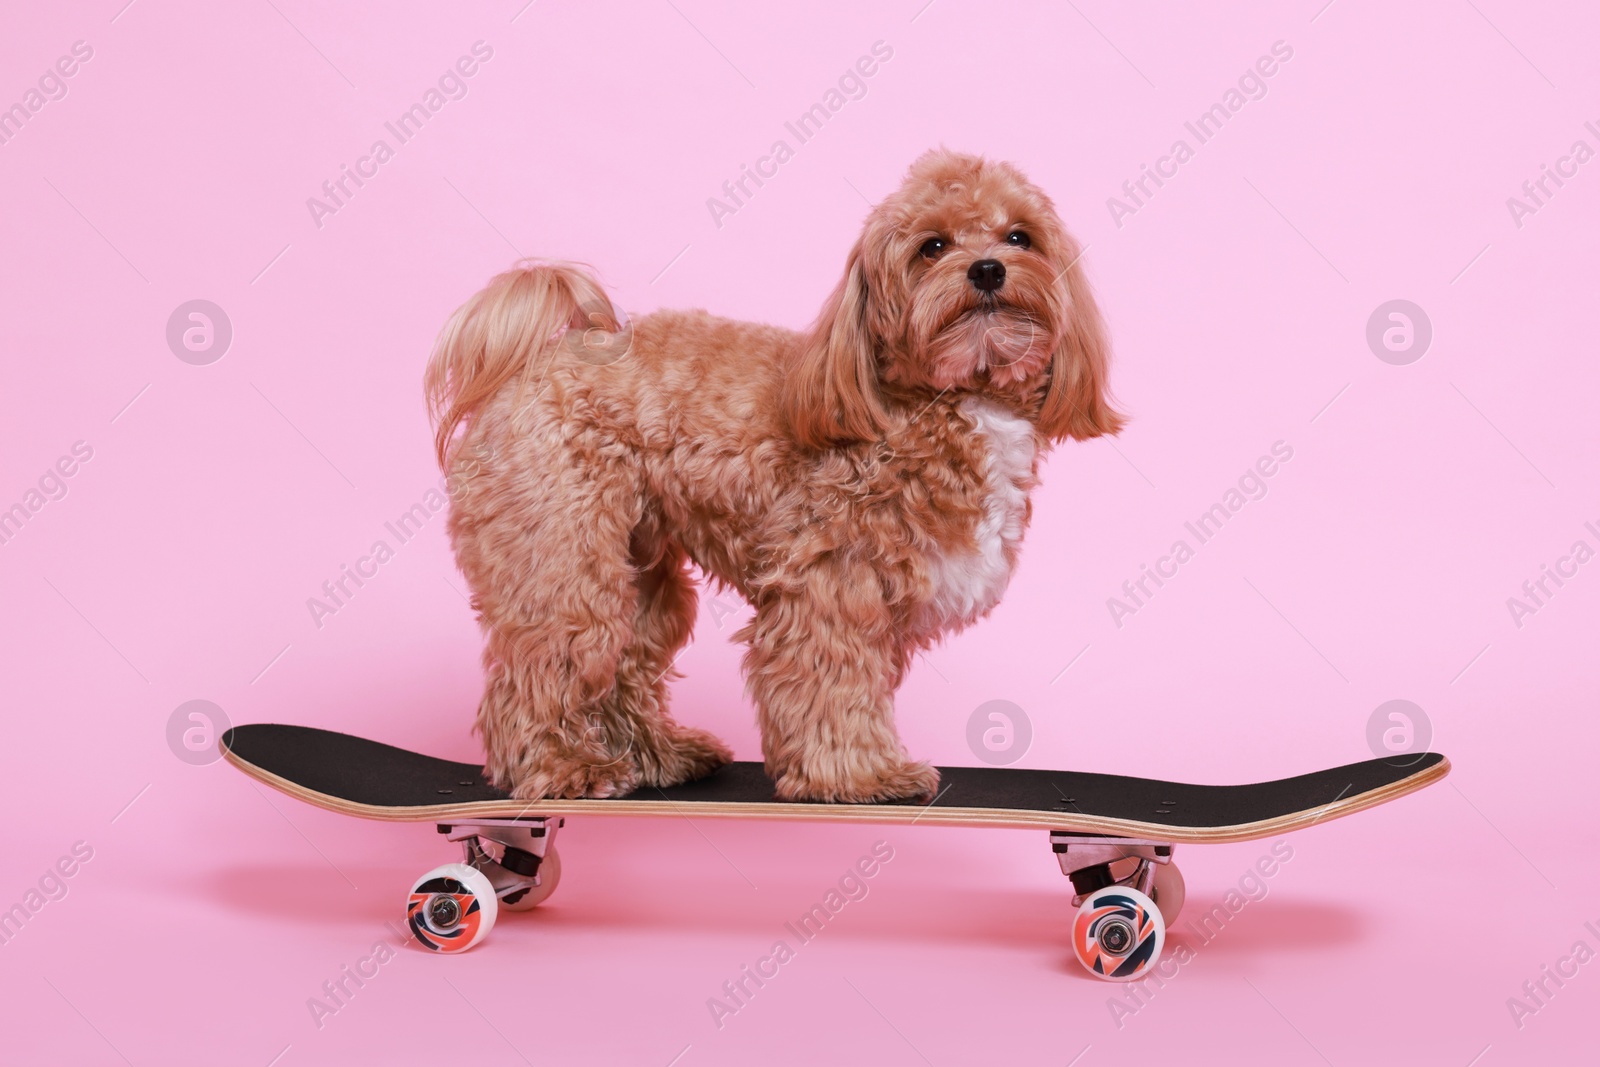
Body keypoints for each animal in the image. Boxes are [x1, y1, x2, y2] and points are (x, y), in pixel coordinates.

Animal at [425, 147, 1126, 799]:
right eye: (933, 246)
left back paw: (658, 757)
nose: (987, 269)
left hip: (639, 568)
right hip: (563, 558)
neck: (944, 399)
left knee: (623, 660)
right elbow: (833, 683)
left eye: (1020, 237)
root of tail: (536, 360)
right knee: (545, 664)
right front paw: (862, 774)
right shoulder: (829, 581)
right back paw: (561, 766)